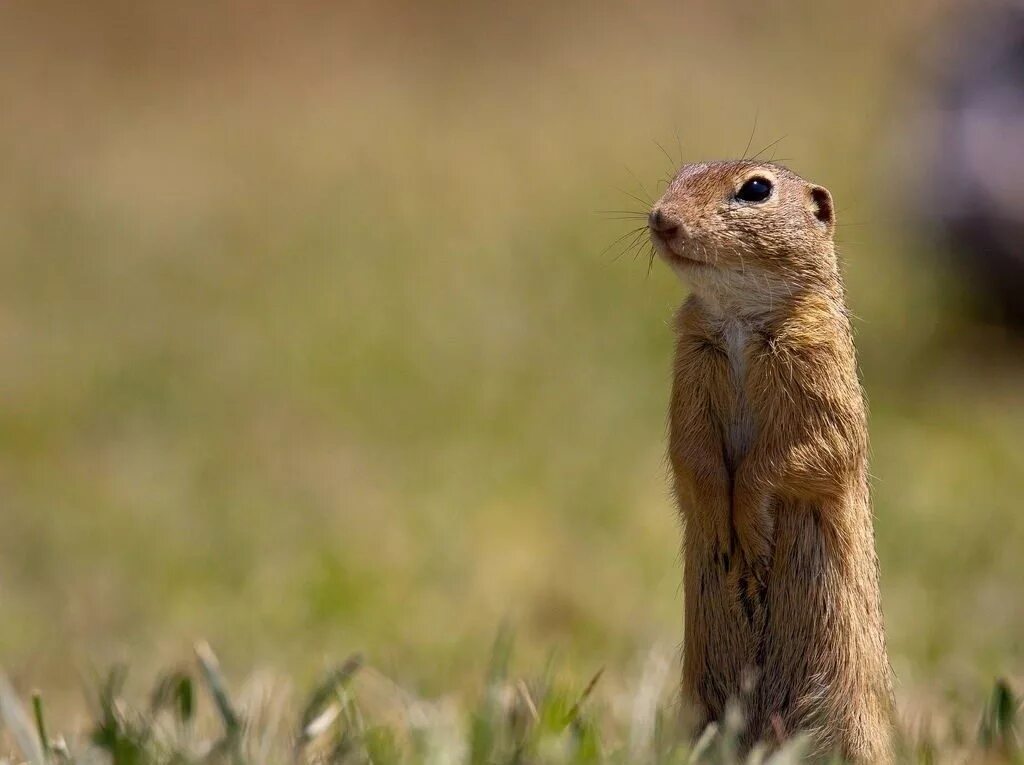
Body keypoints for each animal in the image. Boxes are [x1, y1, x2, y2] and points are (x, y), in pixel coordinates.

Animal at [651, 159, 892, 761]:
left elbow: (803, 451)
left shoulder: (817, 366)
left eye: (756, 188)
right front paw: (722, 529)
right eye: (681, 173)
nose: (660, 218)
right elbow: (690, 453)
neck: (739, 319)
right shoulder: (691, 368)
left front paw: (750, 530)